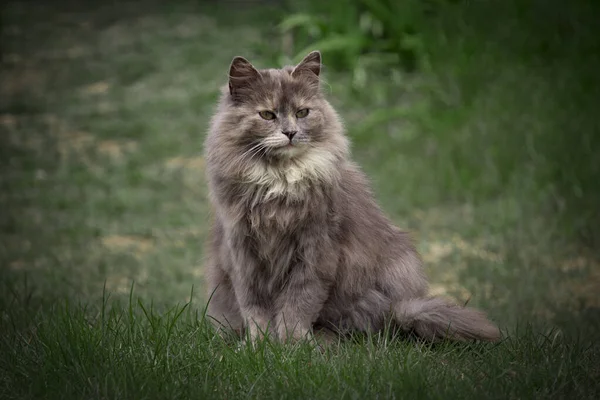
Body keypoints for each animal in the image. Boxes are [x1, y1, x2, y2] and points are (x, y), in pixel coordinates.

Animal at [204, 50, 500, 344]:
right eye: (267, 115)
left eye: (302, 112)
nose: (290, 133)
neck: (280, 180)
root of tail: (397, 310)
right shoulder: (242, 253)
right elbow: (254, 307)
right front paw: (261, 344)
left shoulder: (316, 250)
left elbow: (299, 303)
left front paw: (293, 344)